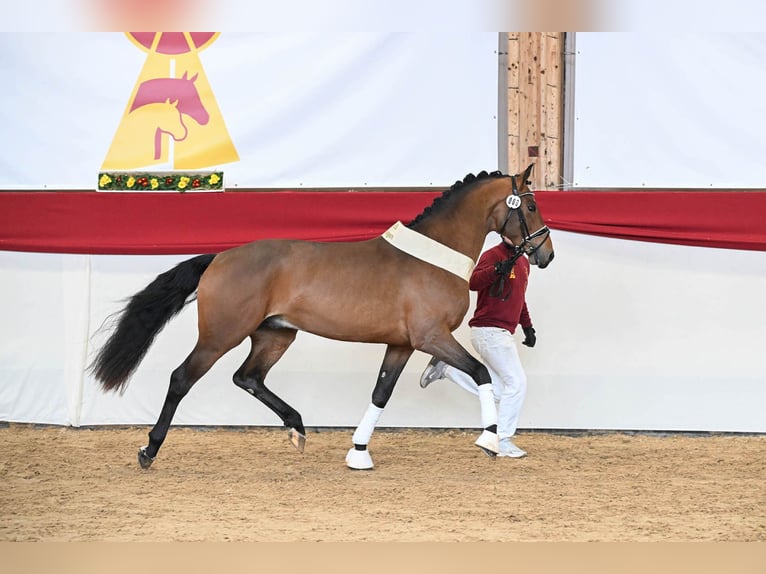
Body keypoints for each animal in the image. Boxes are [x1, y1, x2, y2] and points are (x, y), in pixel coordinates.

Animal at [91, 164, 560, 470]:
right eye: (531, 206)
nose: (546, 254)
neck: (432, 256)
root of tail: (220, 258)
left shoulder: (402, 344)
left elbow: (380, 394)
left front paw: (358, 454)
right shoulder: (432, 337)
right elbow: (480, 373)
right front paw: (489, 438)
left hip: (275, 335)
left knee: (248, 377)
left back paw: (298, 428)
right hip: (221, 335)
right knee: (181, 379)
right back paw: (149, 451)